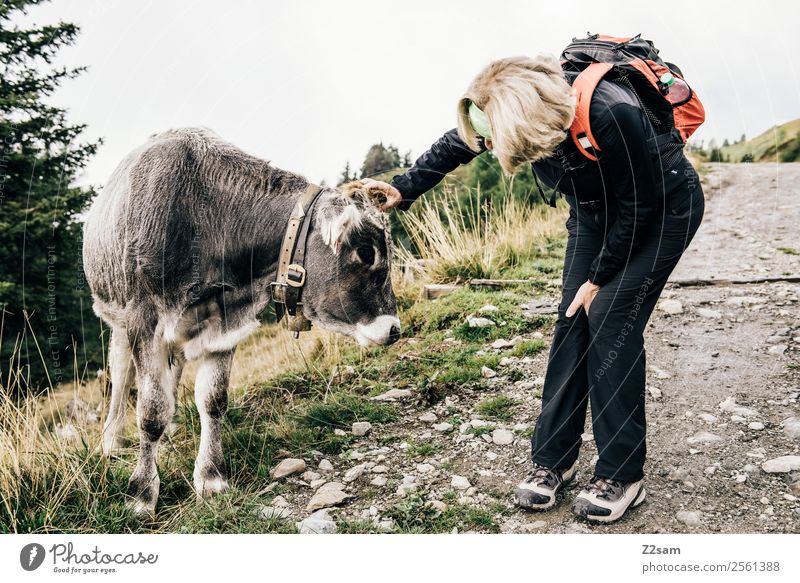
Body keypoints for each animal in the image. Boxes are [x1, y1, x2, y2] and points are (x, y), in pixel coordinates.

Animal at [83, 128, 400, 516]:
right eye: (366, 252)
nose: (394, 329)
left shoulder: (224, 323)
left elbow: (213, 400)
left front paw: (211, 478)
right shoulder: (144, 320)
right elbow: (150, 411)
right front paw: (141, 494)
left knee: (173, 368)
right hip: (118, 320)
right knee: (120, 374)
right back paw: (111, 440)